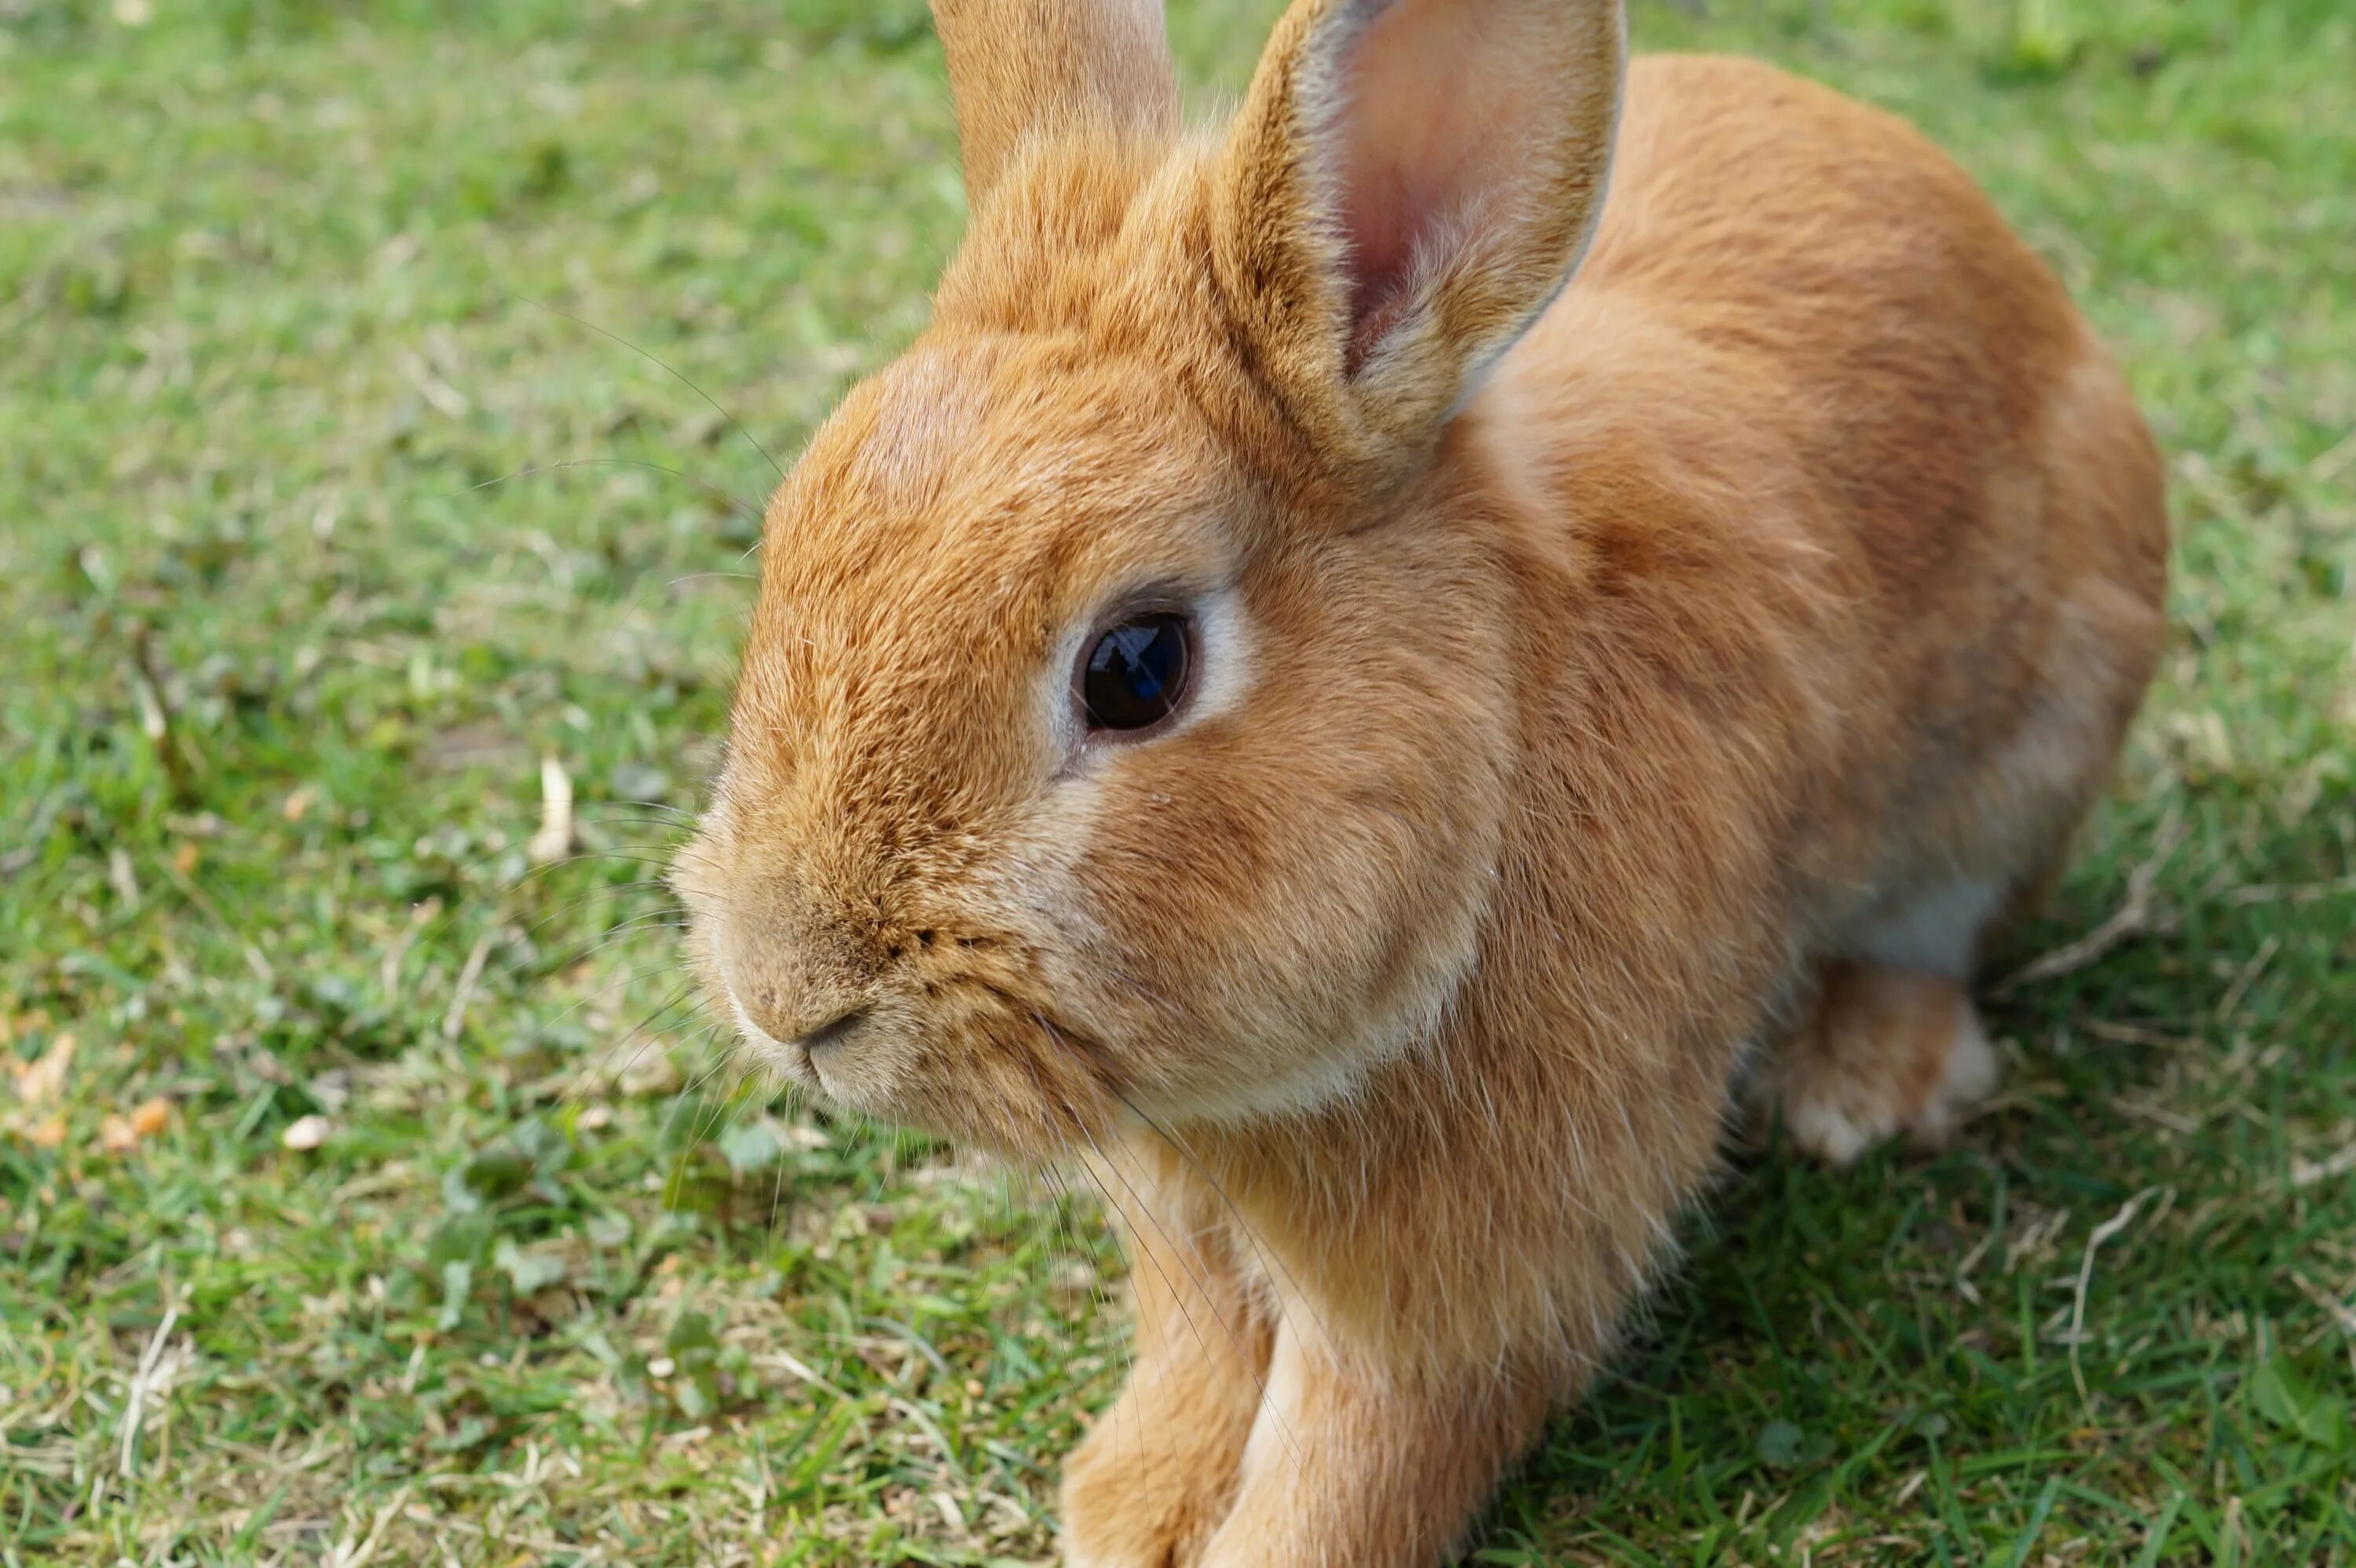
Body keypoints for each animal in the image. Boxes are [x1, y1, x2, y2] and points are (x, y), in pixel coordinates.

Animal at [669, 2, 2168, 1554]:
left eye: (1137, 667)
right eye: (788, 540)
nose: (786, 1000)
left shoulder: (1488, 1259)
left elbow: (1368, 1443)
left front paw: (1254, 1546)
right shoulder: (1189, 1222)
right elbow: (1205, 1341)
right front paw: (1132, 1511)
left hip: (2024, 752)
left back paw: (1864, 1085)